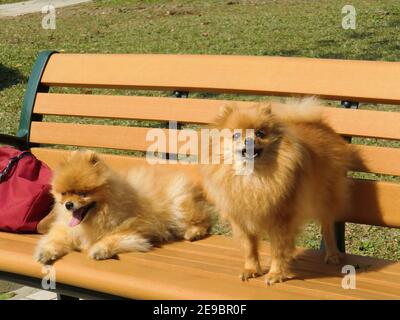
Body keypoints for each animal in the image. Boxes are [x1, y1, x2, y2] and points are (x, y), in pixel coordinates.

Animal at [34, 149, 211, 264]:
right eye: (64, 194)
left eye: (83, 193)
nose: (68, 204)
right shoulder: (67, 230)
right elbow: (54, 239)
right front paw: (45, 252)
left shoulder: (132, 230)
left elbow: (110, 239)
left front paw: (99, 250)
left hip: (180, 207)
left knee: (203, 221)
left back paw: (193, 233)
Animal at [203, 98, 356, 284]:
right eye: (236, 135)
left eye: (260, 133)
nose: (249, 140)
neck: (253, 177)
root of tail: (321, 125)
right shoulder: (241, 219)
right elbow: (249, 248)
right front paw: (251, 269)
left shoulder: (281, 220)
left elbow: (278, 249)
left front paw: (276, 274)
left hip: (324, 198)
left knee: (327, 227)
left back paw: (332, 254)